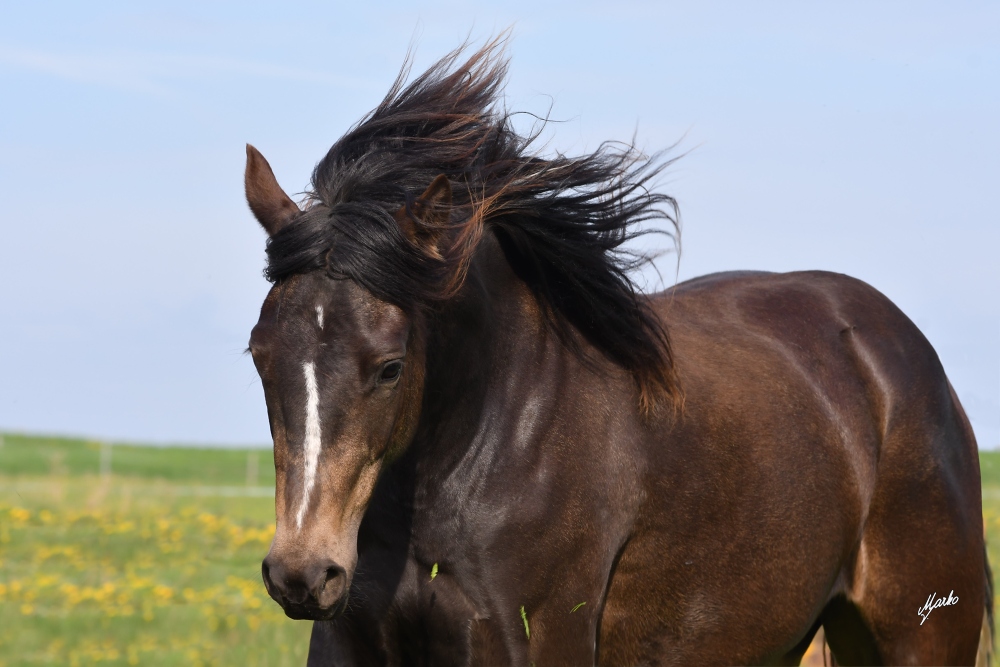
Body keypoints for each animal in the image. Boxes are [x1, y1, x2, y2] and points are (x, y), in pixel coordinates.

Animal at [246, 43, 988, 667]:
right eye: (259, 355)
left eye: (391, 366)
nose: (303, 573)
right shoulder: (350, 642)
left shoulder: (534, 641)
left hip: (917, 634)